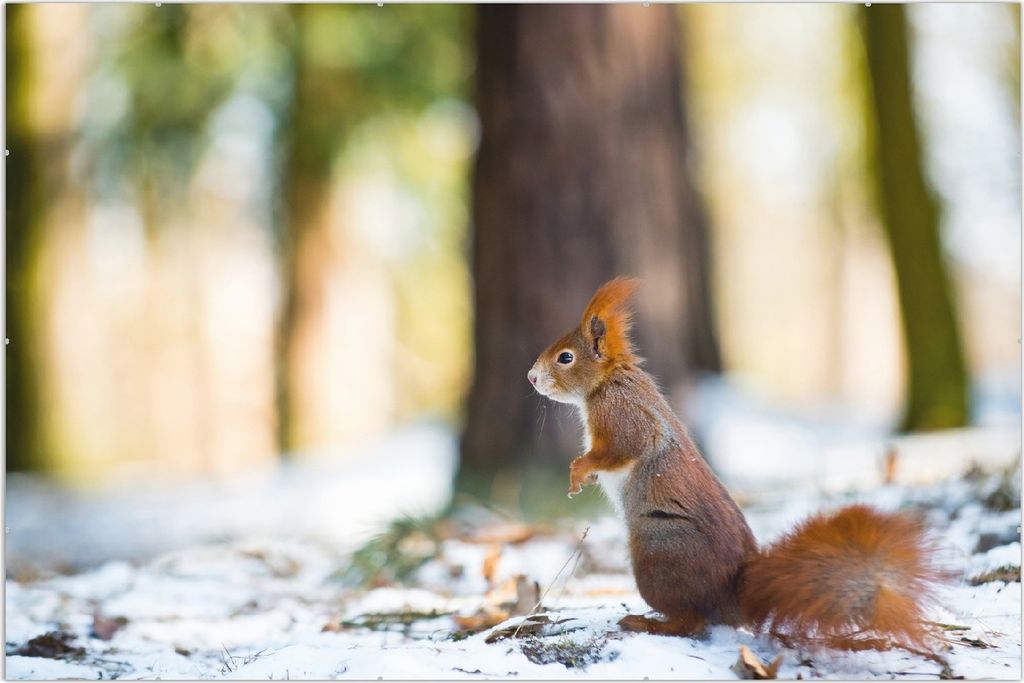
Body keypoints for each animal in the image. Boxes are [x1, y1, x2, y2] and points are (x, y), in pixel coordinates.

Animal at [527, 277, 948, 651]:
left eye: (566, 357)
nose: (530, 377)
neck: (608, 381)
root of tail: (731, 599)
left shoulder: (623, 415)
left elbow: (621, 448)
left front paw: (578, 471)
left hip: (658, 557)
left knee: (692, 621)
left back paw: (647, 623)